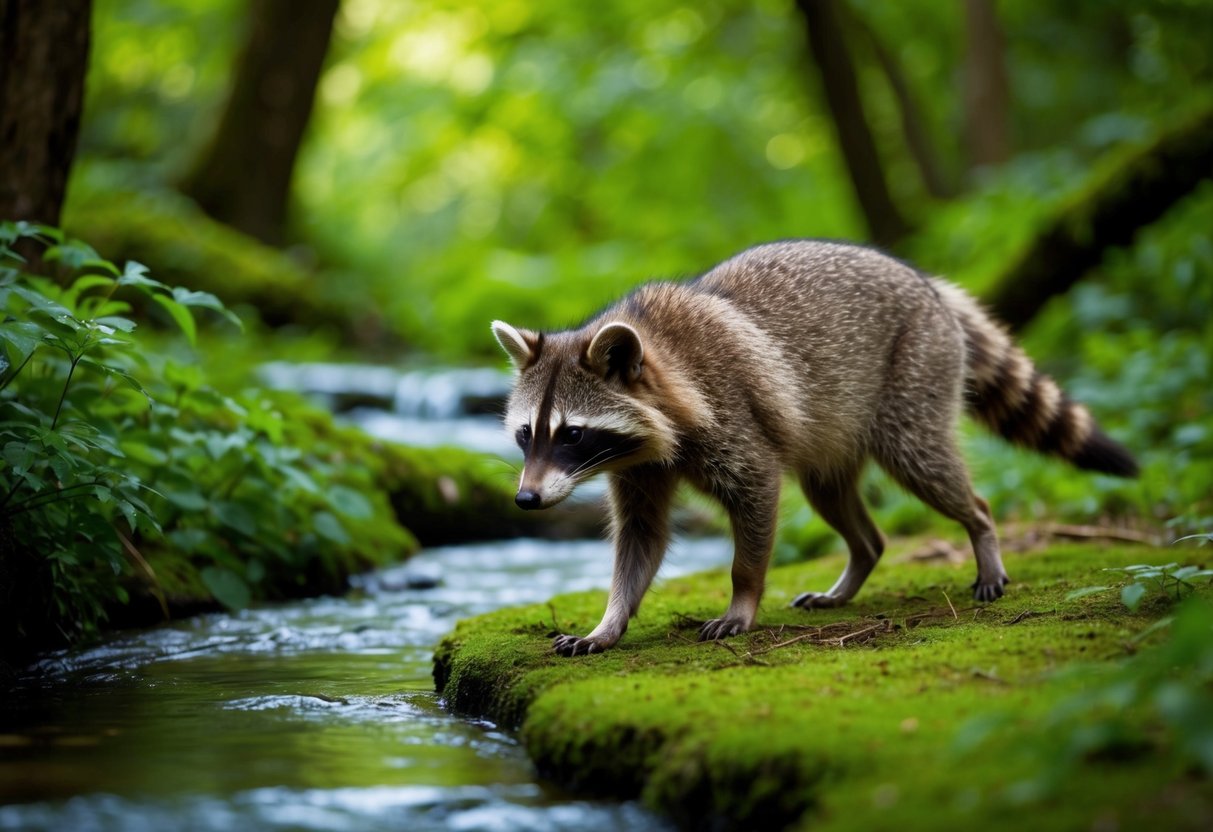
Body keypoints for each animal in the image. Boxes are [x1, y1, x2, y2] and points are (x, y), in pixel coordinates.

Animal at [491, 240, 1137, 656]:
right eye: (526, 434)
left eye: (572, 434)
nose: (525, 500)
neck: (661, 357)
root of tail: (930, 287)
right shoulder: (638, 467)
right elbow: (641, 538)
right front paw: (611, 619)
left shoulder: (735, 420)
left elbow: (755, 505)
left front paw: (743, 599)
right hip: (835, 439)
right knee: (839, 506)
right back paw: (859, 563)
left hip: (914, 381)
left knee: (933, 470)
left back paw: (981, 531)